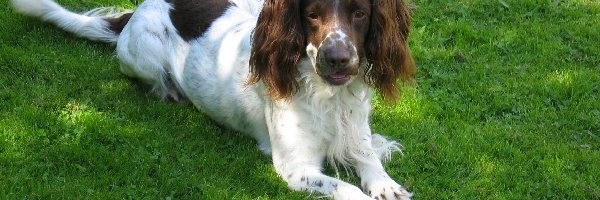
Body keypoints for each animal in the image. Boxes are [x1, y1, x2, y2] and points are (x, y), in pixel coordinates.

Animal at [12, 0, 418, 198]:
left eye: (360, 13)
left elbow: (370, 162)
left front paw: (388, 184)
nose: (338, 58)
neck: (328, 94)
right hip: (142, 54)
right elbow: (345, 188)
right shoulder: (295, 167)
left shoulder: (356, 129)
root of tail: (138, 8)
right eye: (312, 15)